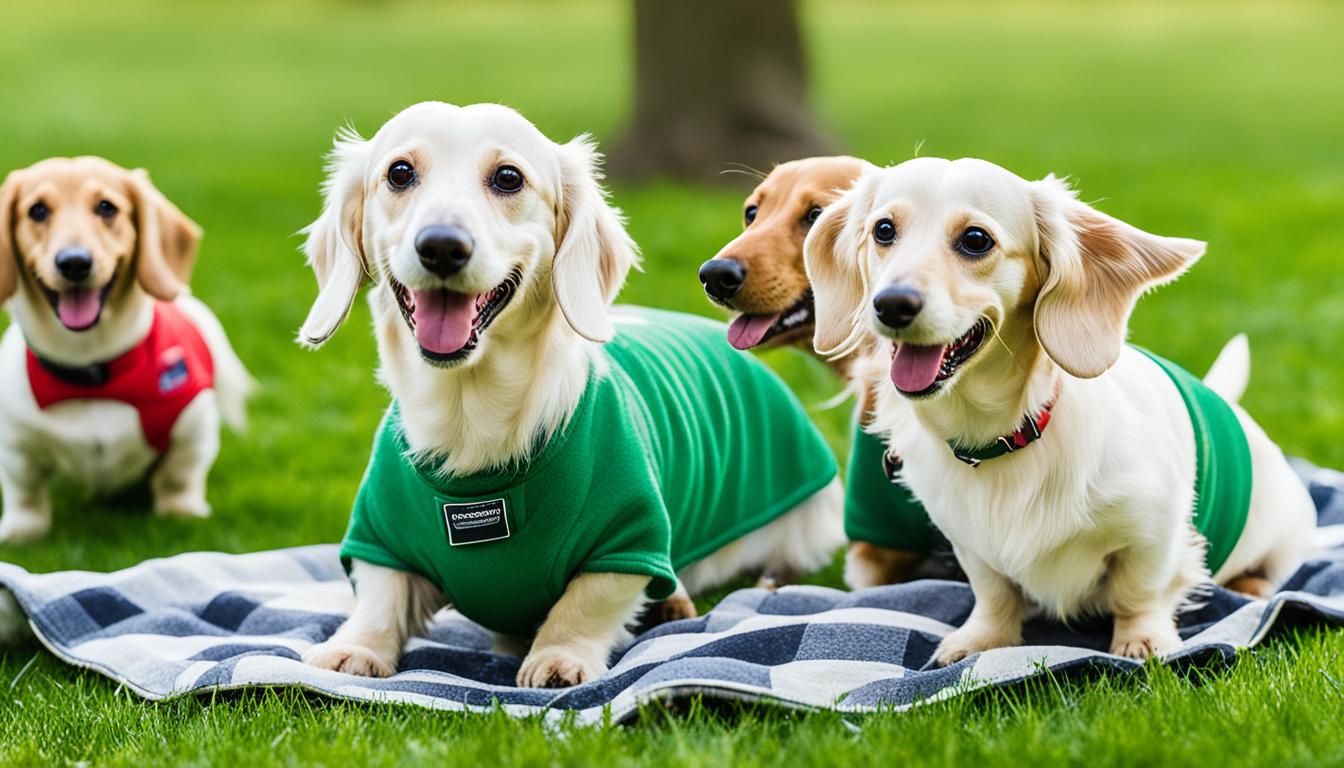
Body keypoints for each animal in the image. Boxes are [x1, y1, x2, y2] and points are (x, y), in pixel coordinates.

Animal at [0, 158, 251, 540]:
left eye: (107, 207)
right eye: (37, 210)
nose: (74, 263)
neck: (94, 373)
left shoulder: (193, 426)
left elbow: (179, 477)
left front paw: (182, 513)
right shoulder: (15, 445)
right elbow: (25, 491)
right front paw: (23, 532)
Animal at [299, 103, 844, 688]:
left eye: (508, 177)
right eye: (399, 173)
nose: (442, 246)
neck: (471, 421)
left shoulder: (630, 539)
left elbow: (587, 602)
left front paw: (558, 657)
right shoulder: (378, 536)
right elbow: (381, 595)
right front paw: (354, 649)